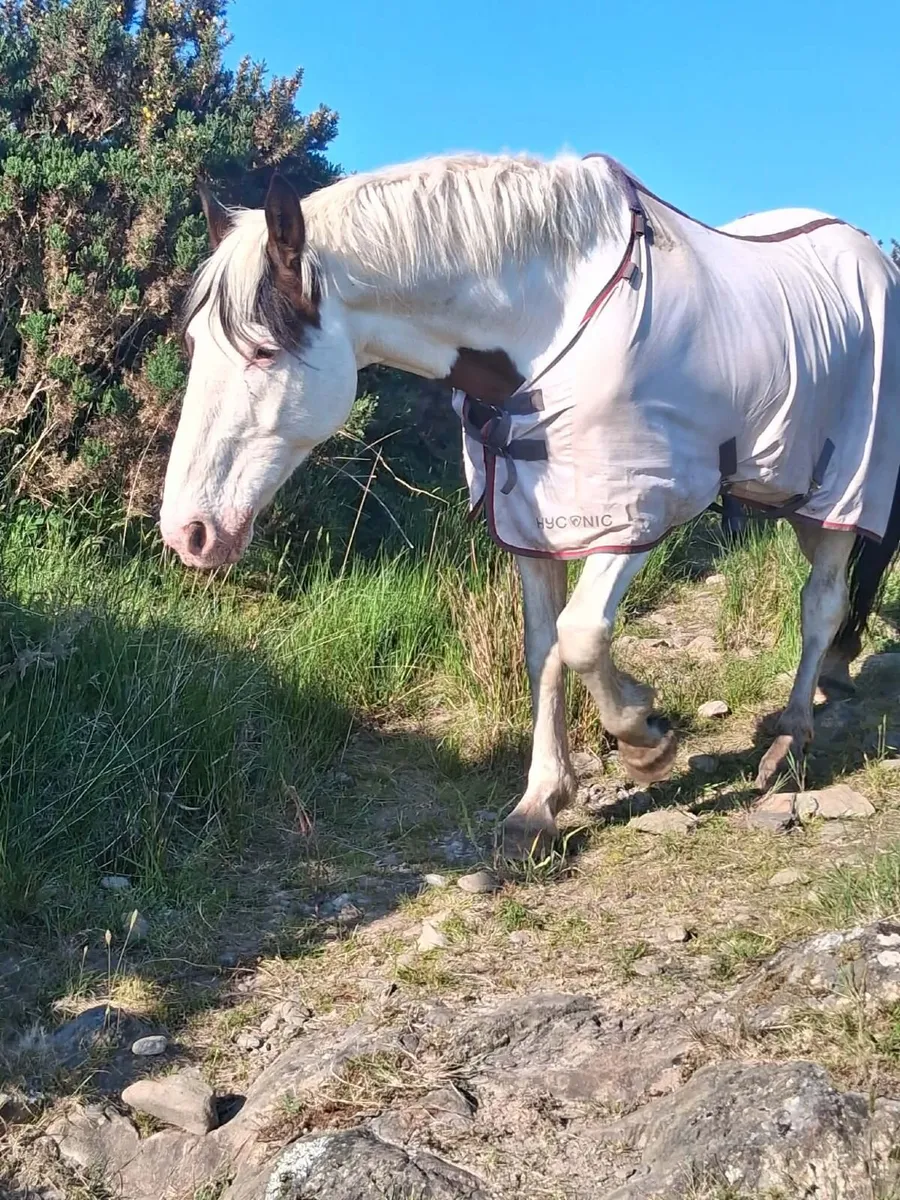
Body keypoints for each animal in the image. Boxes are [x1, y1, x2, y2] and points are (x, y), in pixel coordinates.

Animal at [159, 152, 900, 856]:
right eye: (195, 344)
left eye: (262, 352)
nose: (187, 533)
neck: (550, 326)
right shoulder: (529, 522)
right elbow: (543, 648)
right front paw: (540, 804)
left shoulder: (635, 511)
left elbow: (582, 635)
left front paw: (644, 734)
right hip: (790, 490)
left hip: (844, 486)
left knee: (821, 602)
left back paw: (792, 737)